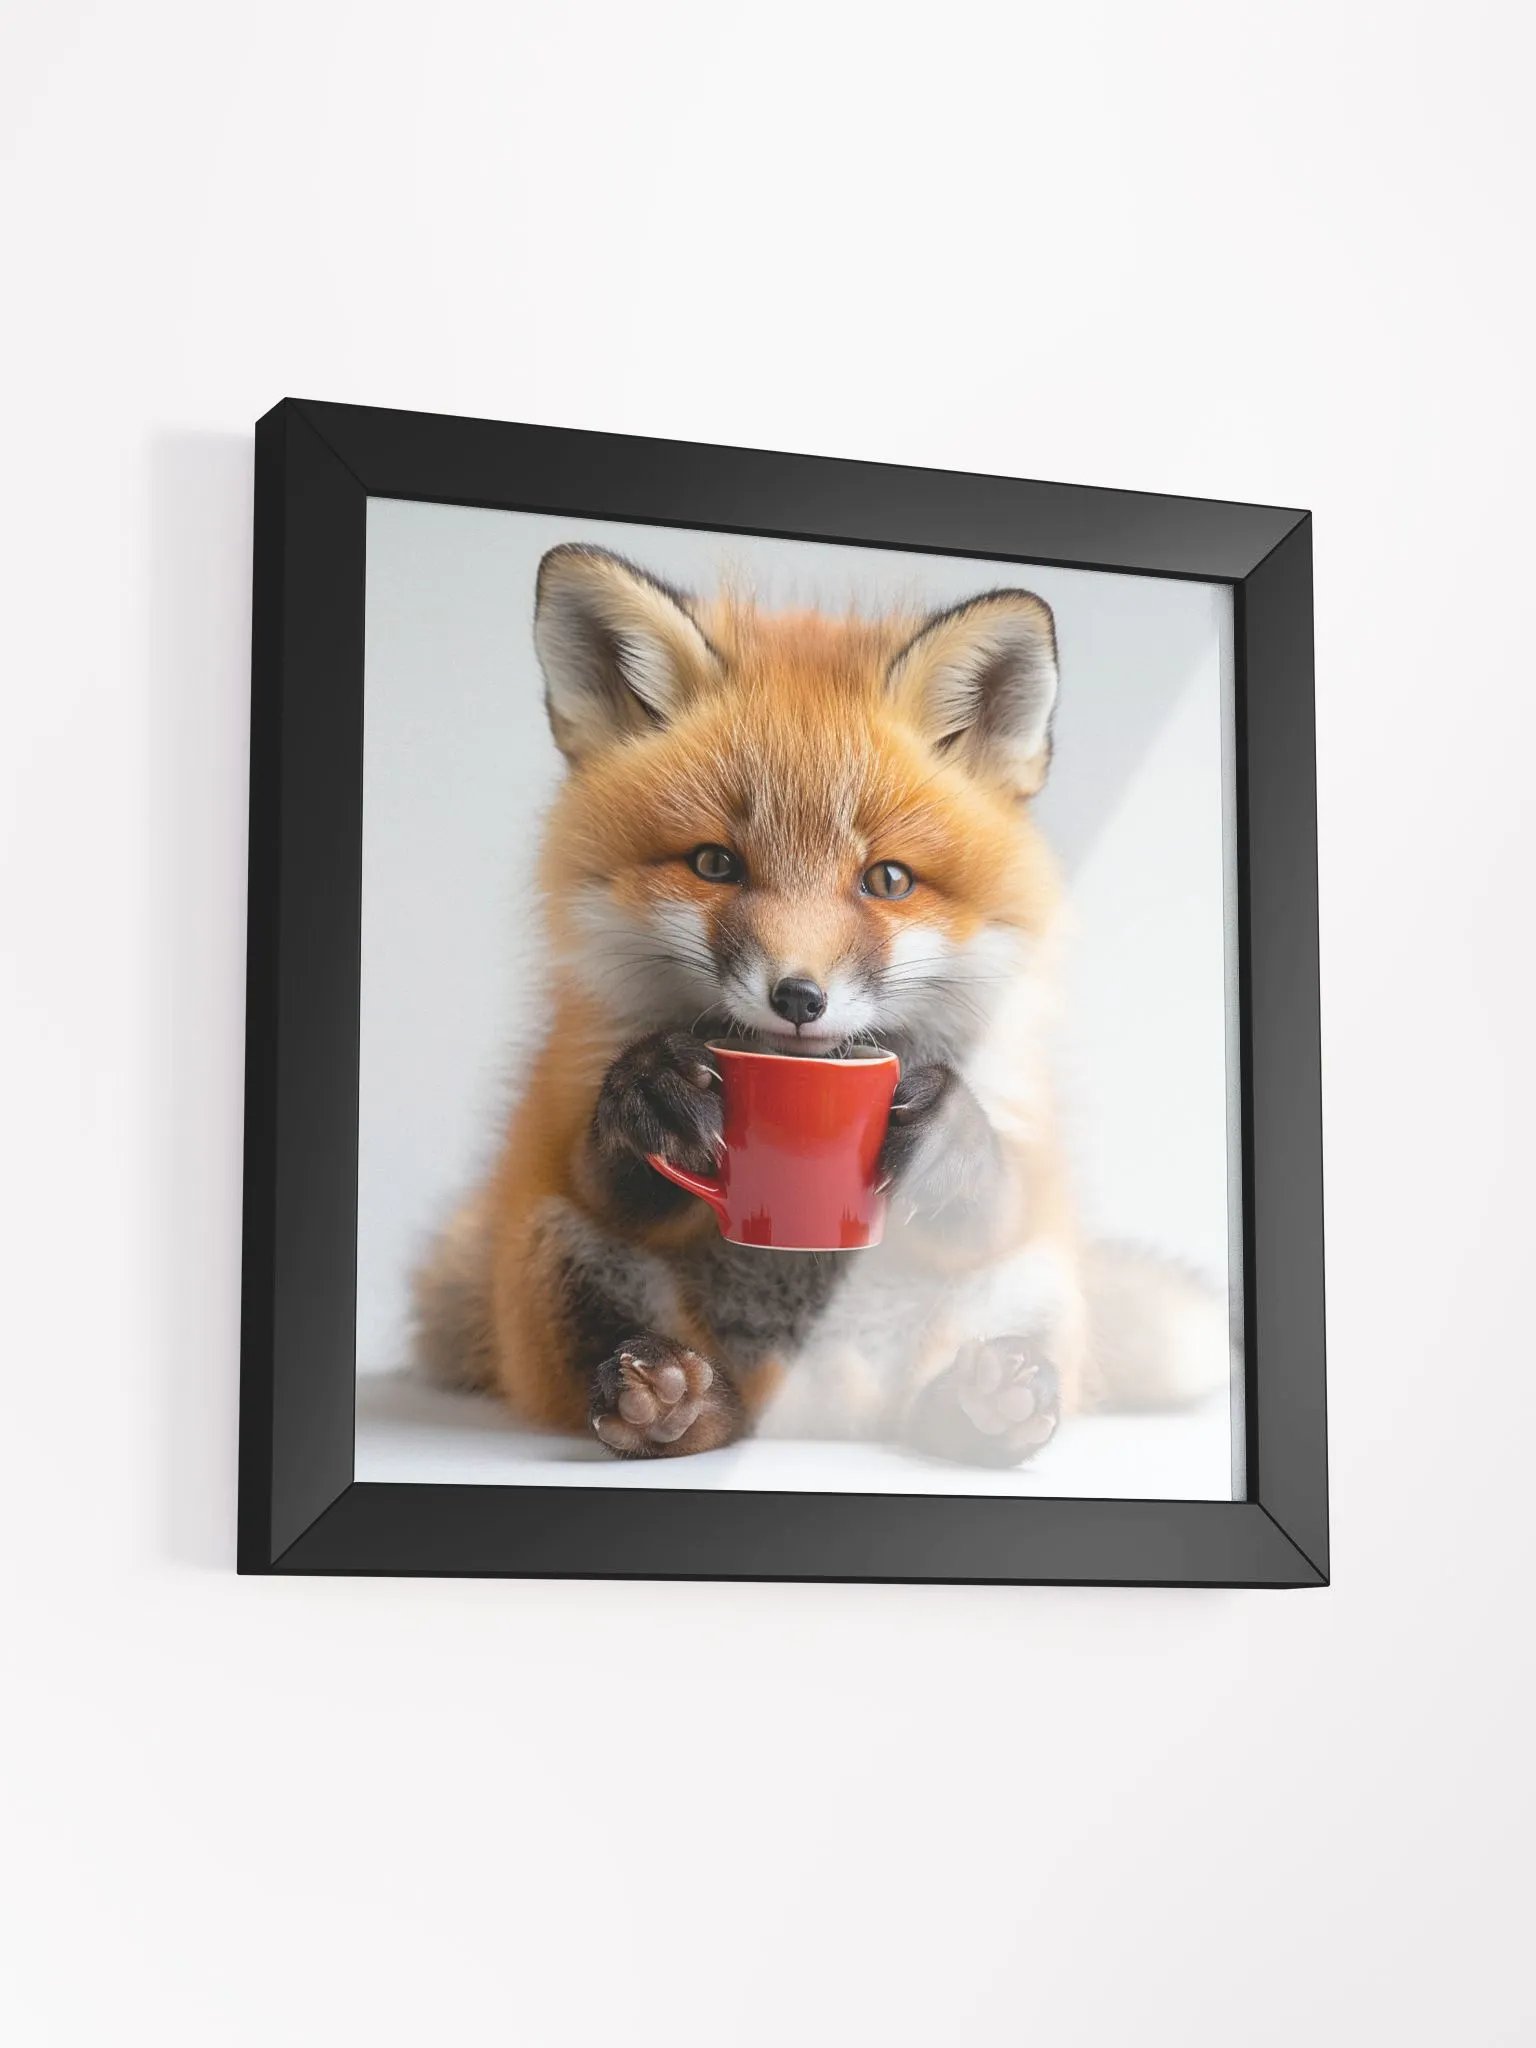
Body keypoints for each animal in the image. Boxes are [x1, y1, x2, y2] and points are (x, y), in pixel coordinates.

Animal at [412, 543, 1231, 1464]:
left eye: (889, 880)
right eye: (715, 864)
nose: (799, 995)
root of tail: (819, 1410)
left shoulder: (1016, 1126)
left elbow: (989, 1203)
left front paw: (947, 1132)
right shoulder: (572, 1104)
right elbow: (606, 1173)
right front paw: (653, 1088)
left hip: (1037, 1275)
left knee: (942, 1398)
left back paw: (981, 1407)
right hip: (554, 1250)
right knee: (678, 1388)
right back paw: (674, 1409)